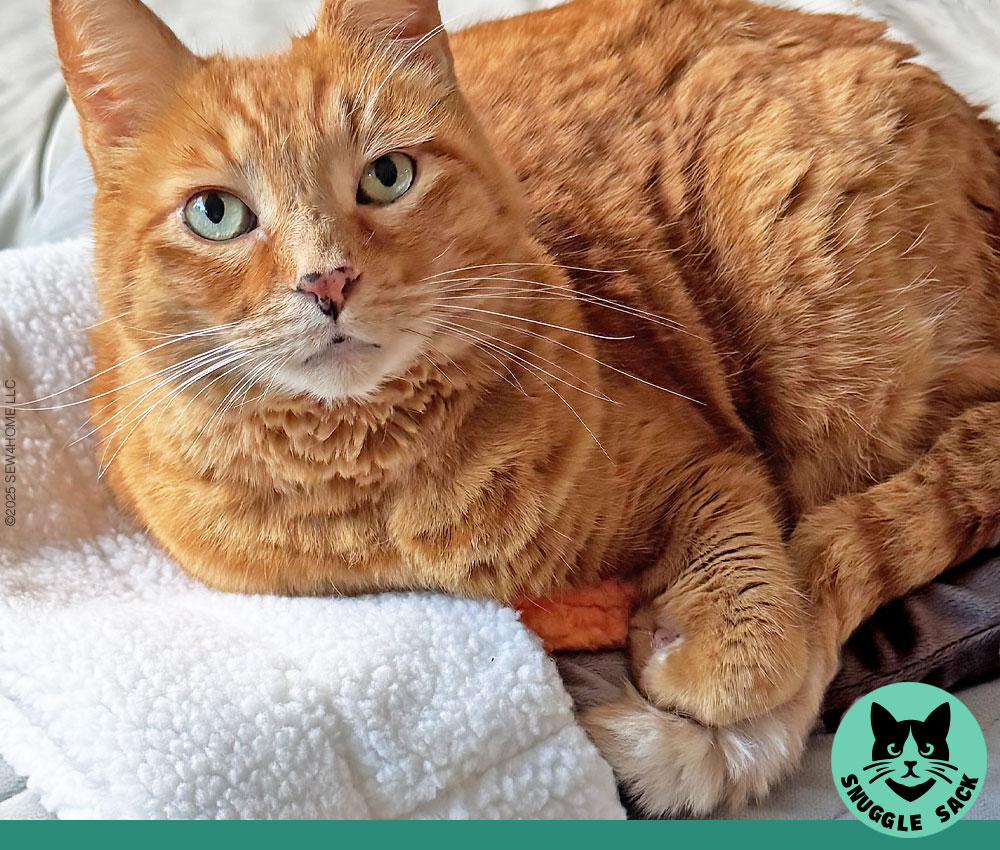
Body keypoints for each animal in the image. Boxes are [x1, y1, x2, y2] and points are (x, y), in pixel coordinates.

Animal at [49, 0, 1000, 817]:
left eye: (387, 176)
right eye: (216, 214)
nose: (328, 280)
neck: (385, 489)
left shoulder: (712, 459)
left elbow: (761, 632)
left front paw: (689, 650)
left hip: (829, 345)